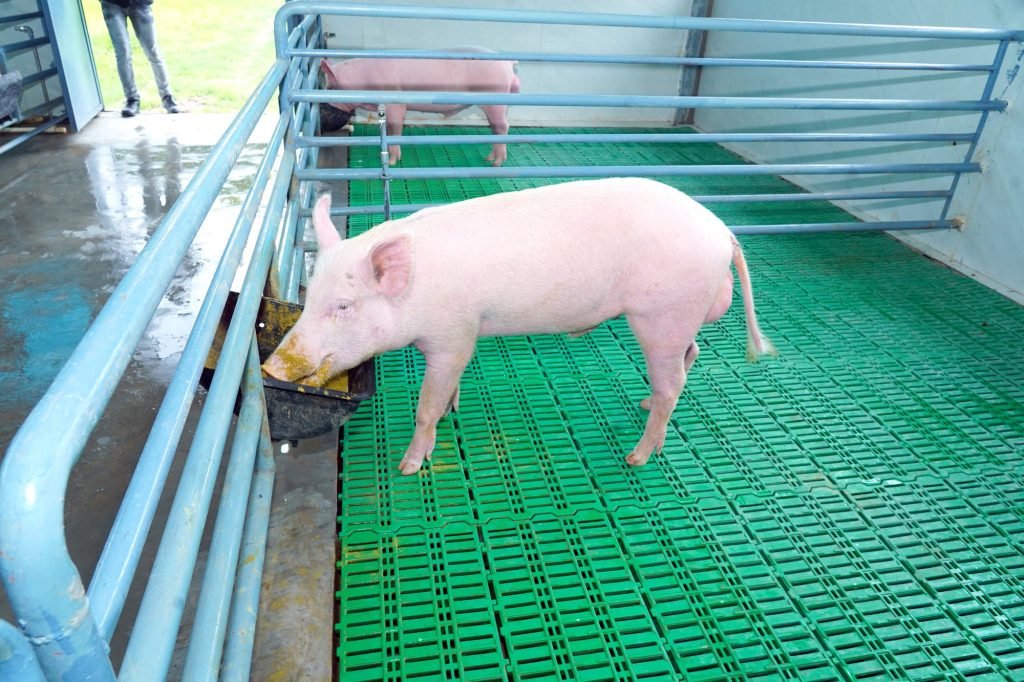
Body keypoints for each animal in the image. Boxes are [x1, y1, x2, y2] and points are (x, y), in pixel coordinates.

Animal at [263, 178, 776, 475]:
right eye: (310, 298)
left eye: (344, 306)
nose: (271, 368)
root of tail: (722, 233)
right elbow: (446, 393)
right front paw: (451, 409)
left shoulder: (453, 334)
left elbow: (425, 406)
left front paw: (408, 466)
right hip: (678, 321)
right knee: (690, 359)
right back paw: (647, 407)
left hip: (661, 316)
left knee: (674, 381)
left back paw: (636, 455)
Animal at [319, 48, 520, 166]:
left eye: (330, 88)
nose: (322, 119)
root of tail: (507, 63)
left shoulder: (396, 104)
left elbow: (395, 129)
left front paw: (392, 162)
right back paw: (489, 158)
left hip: (495, 98)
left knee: (503, 126)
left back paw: (495, 163)